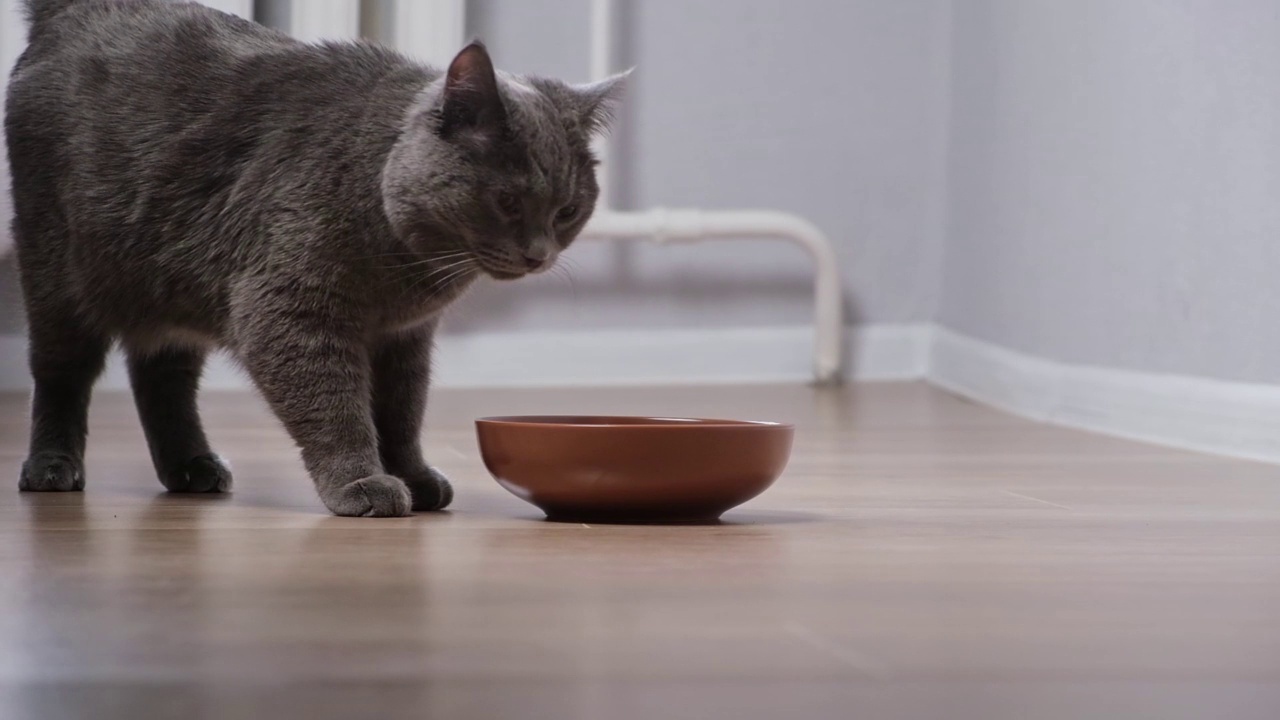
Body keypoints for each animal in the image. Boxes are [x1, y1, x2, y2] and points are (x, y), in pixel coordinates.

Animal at [5, 1, 624, 515]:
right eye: (508, 201)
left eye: (567, 210)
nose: (538, 255)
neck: (406, 271)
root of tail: (79, 9)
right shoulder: (289, 310)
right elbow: (336, 405)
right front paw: (361, 483)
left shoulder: (404, 338)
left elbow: (402, 411)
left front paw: (413, 475)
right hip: (57, 266)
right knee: (61, 371)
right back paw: (51, 468)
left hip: (167, 283)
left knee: (161, 374)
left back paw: (192, 468)